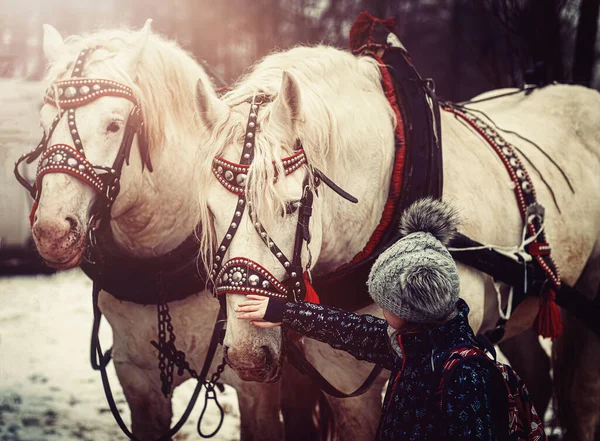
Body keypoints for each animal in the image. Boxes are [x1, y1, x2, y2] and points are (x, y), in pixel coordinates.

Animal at [31, 23, 300, 440]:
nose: (51, 231)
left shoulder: (257, 389)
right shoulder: (137, 378)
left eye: (114, 124)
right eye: (45, 124)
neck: (159, 261)